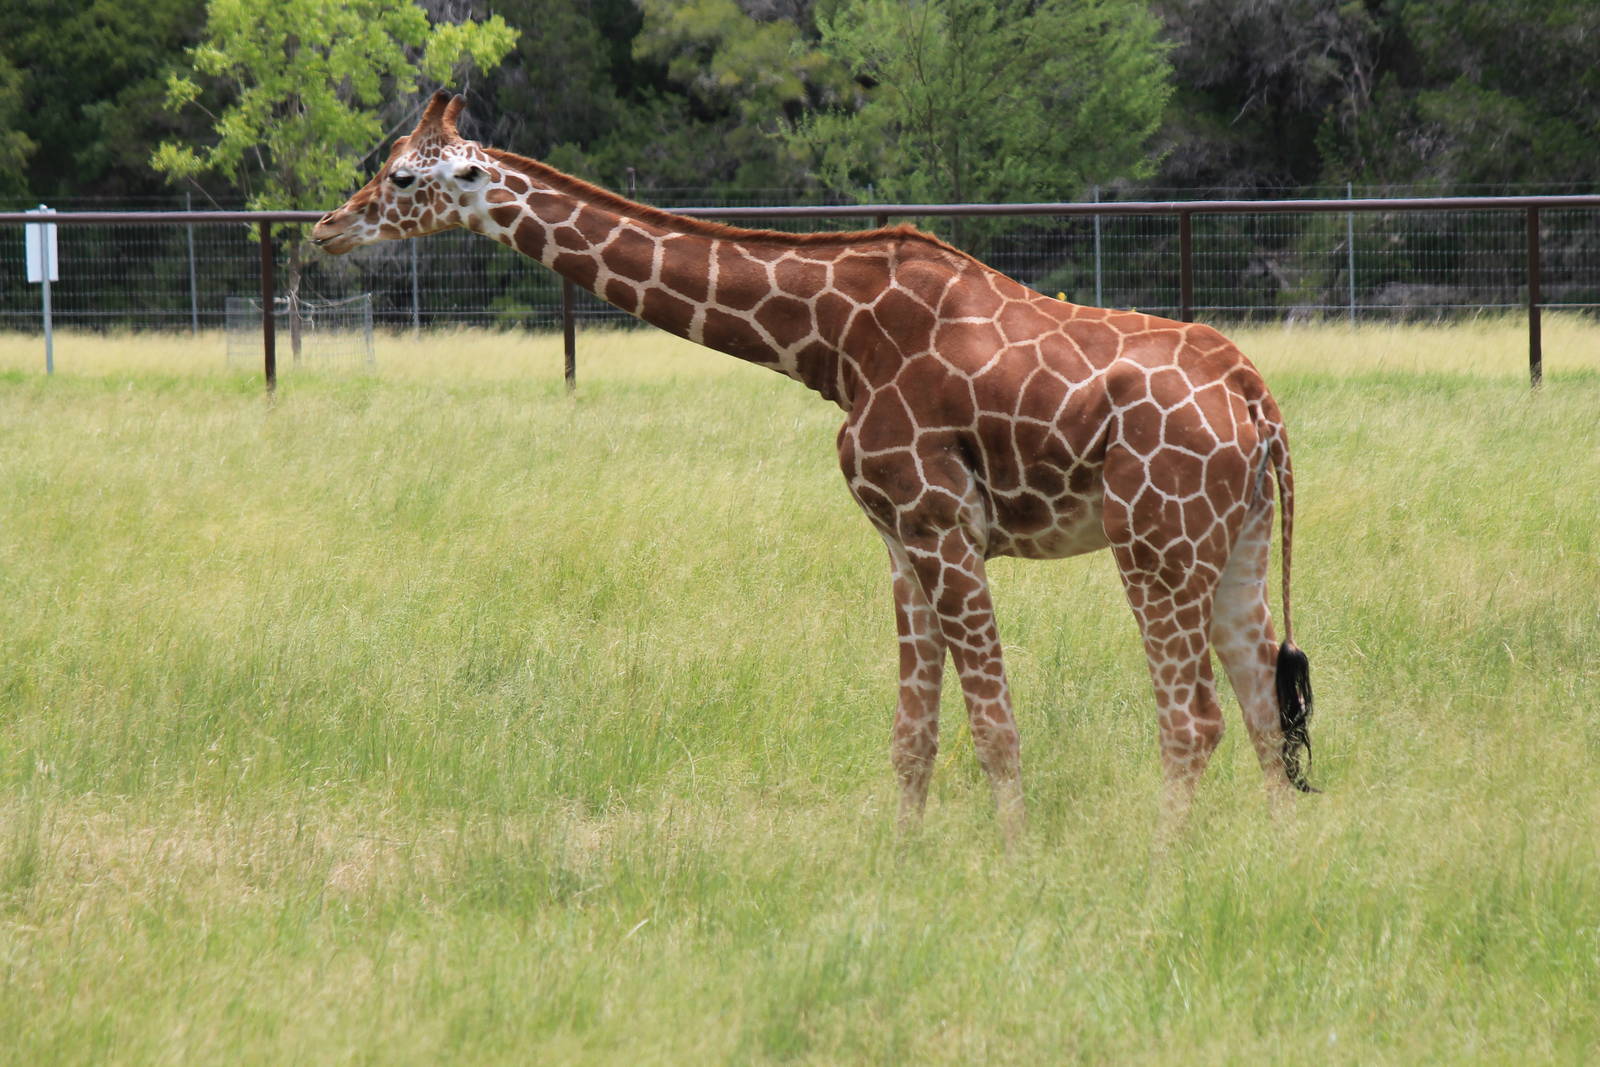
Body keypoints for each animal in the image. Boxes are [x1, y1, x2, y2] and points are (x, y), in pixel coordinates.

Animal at [313, 92, 1317, 841]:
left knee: (1194, 719)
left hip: (1153, 540)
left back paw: (1163, 865)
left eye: (402, 175)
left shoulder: (940, 522)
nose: (326, 228)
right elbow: (913, 734)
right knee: (1264, 702)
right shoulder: (900, 537)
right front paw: (906, 862)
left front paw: (1016, 860)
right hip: (1237, 542)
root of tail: (1256, 398)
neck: (829, 343)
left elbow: (994, 725)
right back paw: (1268, 861)